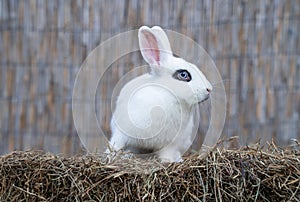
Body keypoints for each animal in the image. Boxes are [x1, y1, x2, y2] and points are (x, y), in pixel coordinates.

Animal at [107, 25, 211, 163]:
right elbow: (116, 144)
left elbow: (168, 153)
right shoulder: (121, 132)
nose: (209, 89)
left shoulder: (171, 143)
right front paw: (110, 157)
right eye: (184, 74)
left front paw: (169, 161)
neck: (169, 96)